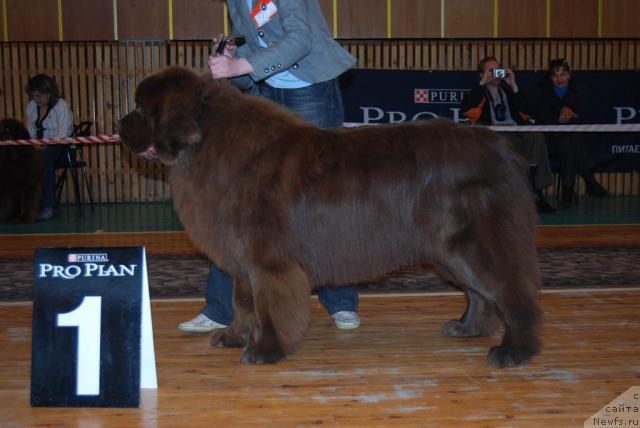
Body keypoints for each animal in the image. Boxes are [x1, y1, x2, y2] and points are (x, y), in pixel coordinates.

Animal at [119, 67, 540, 368]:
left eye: (141, 108)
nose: (120, 126)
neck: (208, 142)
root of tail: (502, 147)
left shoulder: (268, 259)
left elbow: (268, 304)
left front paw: (266, 349)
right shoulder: (240, 257)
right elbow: (243, 301)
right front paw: (236, 335)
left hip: (473, 242)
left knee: (510, 289)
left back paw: (515, 351)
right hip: (449, 250)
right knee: (479, 290)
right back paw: (469, 329)